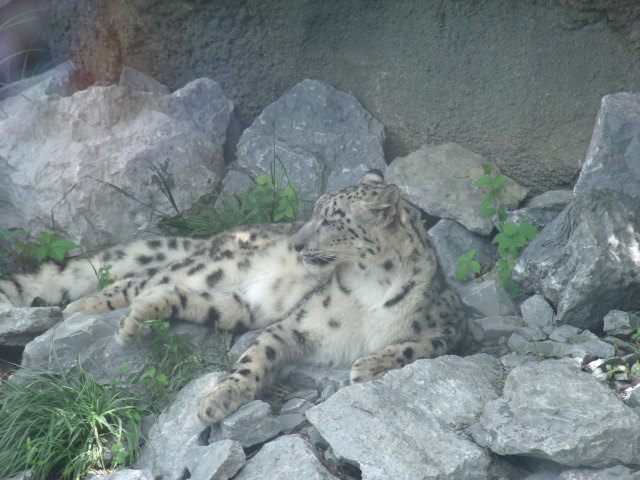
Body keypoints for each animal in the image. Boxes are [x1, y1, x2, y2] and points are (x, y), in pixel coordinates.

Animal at [0, 169, 466, 424]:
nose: (297, 242)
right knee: (139, 279)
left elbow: (423, 346)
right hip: (211, 266)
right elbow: (254, 361)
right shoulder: (296, 325)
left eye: (333, 219)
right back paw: (91, 310)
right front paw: (217, 401)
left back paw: (139, 315)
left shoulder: (452, 323)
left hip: (232, 307)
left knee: (169, 293)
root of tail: (221, 235)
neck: (371, 288)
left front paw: (370, 364)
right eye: (315, 211)